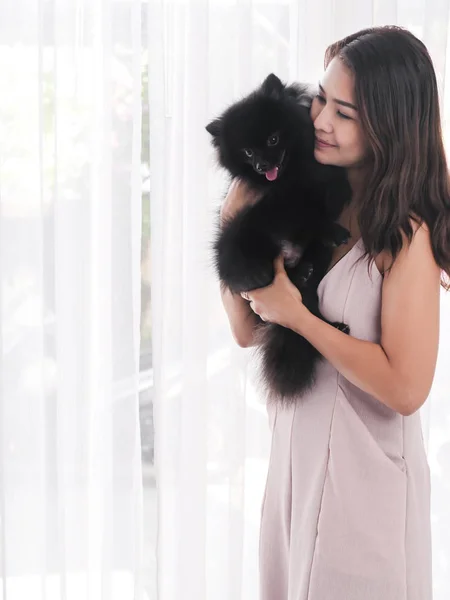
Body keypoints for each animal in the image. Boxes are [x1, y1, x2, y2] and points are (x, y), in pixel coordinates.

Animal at [207, 72, 352, 406]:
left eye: (273, 139)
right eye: (247, 152)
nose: (262, 166)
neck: (292, 177)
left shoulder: (328, 185)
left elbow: (324, 203)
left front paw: (333, 227)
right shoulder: (280, 205)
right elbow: (308, 214)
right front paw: (332, 229)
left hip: (317, 256)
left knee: (309, 308)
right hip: (236, 245)